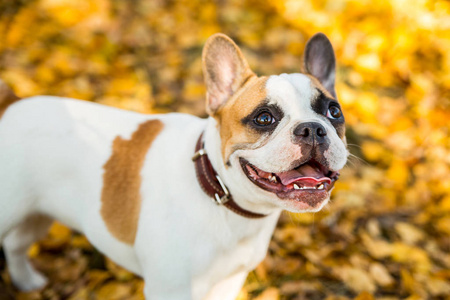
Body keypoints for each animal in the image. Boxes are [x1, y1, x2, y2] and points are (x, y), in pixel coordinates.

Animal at [0, 31, 348, 298]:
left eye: (334, 112)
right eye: (264, 118)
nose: (312, 129)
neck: (222, 198)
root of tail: (13, 106)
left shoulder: (228, 282)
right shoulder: (171, 289)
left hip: (38, 214)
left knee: (17, 245)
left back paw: (27, 282)